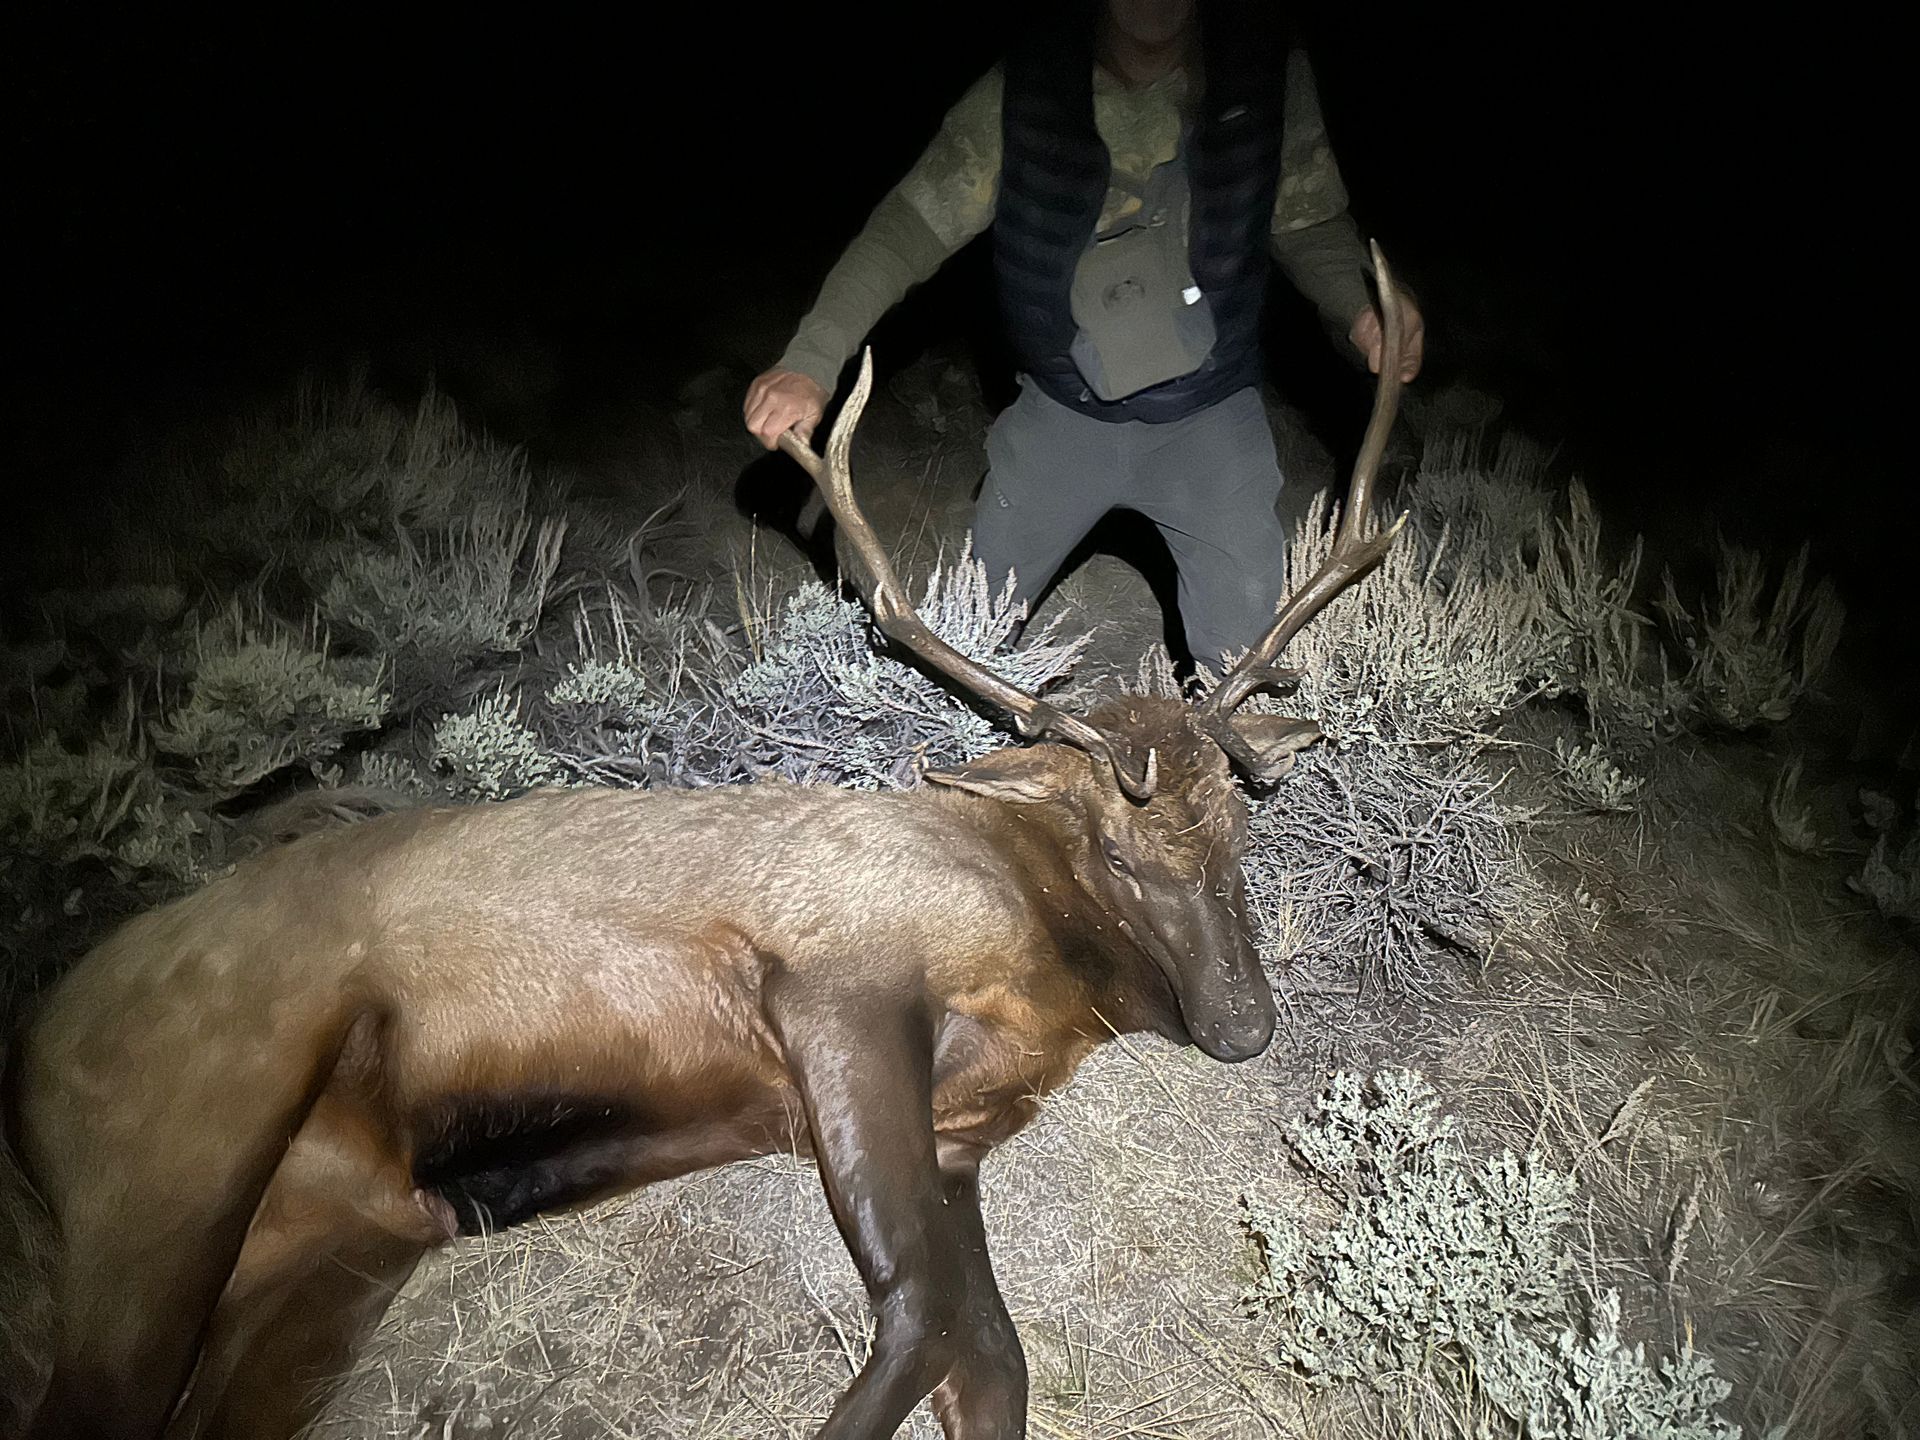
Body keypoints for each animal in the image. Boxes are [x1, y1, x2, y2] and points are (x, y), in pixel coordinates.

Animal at [4, 249, 1410, 1440]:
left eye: (1240, 825)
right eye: (1120, 853)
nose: (1247, 1024)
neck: (1052, 975)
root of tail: (35, 1046)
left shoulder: (958, 1132)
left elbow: (993, 1360)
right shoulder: (835, 983)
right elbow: (922, 1316)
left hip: (339, 1244)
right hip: (187, 1146)